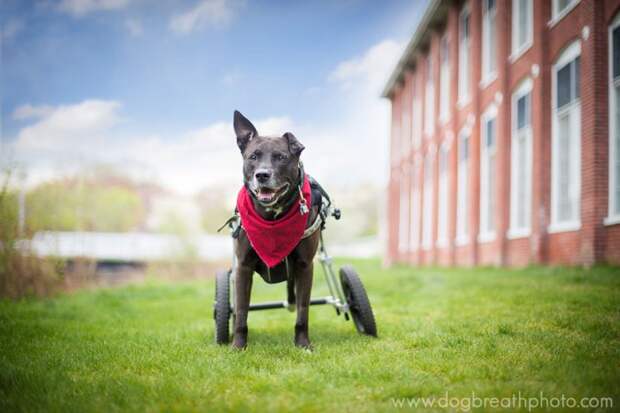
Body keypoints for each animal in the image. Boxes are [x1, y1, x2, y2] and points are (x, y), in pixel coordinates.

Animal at [231, 110, 320, 350]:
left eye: (281, 157)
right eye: (253, 156)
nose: (262, 175)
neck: (272, 217)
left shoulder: (305, 266)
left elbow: (303, 310)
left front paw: (303, 344)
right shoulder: (243, 266)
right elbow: (241, 310)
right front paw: (238, 346)